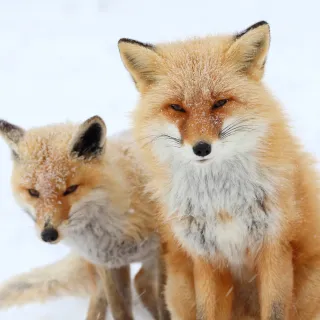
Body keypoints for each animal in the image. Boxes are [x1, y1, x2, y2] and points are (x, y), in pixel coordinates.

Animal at [0, 117, 170, 320]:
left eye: (70, 189)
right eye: (33, 192)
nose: (48, 234)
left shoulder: (163, 255)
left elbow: (166, 305)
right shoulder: (110, 265)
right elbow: (120, 311)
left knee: (141, 282)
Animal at [117, 21, 320, 318]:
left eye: (220, 102)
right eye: (177, 107)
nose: (201, 148)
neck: (222, 203)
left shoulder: (275, 248)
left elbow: (276, 309)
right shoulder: (207, 258)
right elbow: (208, 311)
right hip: (178, 289)